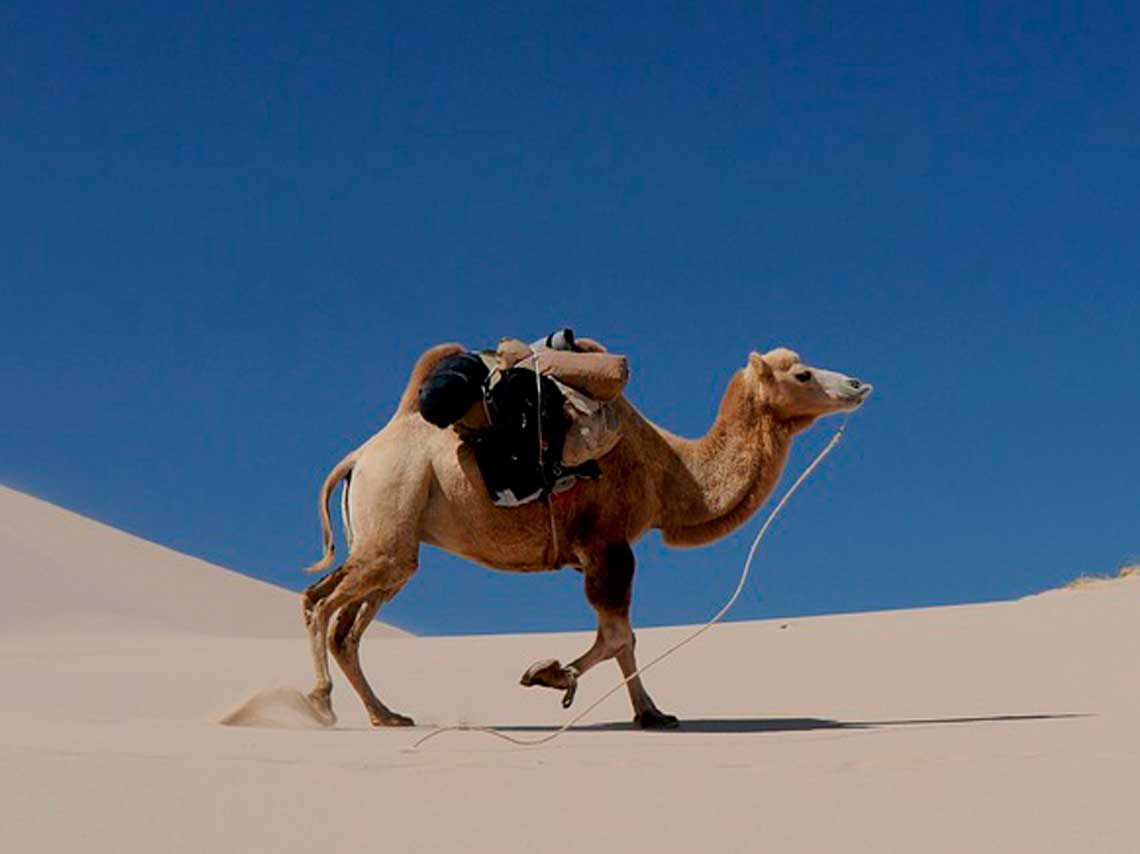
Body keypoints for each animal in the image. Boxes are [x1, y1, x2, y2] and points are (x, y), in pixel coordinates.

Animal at [300, 344, 870, 725]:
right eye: (802, 373)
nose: (859, 385)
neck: (674, 473)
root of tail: (360, 456)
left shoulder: (603, 551)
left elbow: (624, 639)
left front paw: (652, 714)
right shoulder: (608, 545)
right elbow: (618, 635)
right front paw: (549, 674)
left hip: (394, 543)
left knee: (345, 625)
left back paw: (386, 714)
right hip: (389, 512)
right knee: (320, 603)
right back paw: (321, 701)